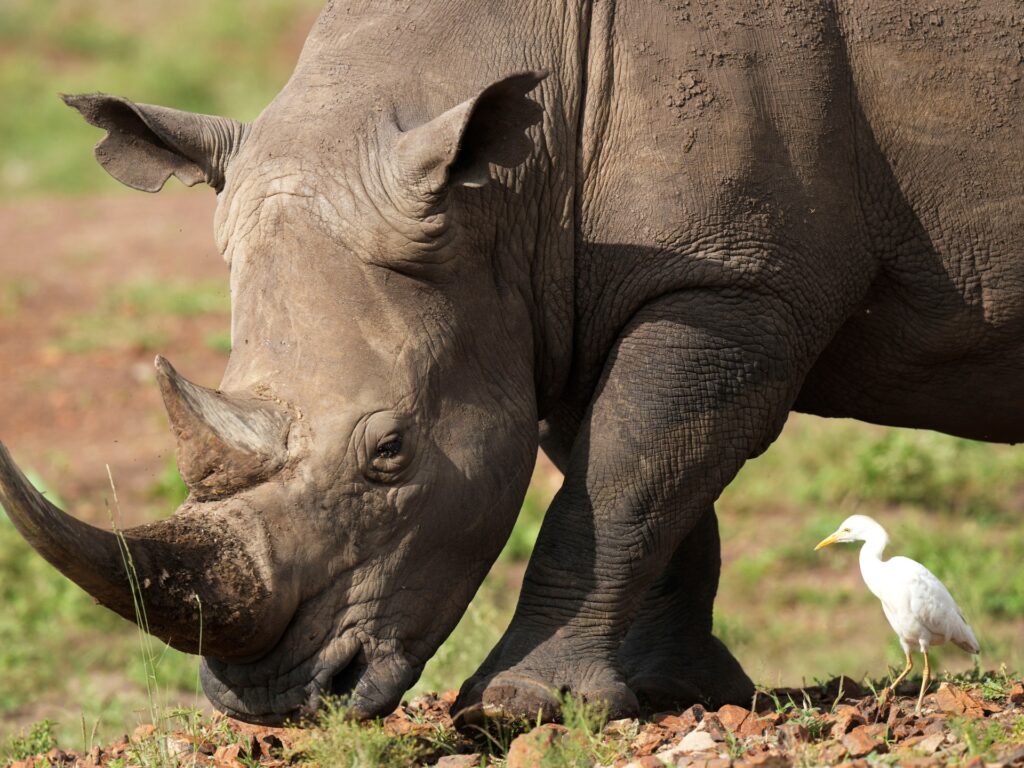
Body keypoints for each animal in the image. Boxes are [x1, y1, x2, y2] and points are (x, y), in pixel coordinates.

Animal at [1, 0, 1022, 726]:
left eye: (392, 453)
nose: (277, 705)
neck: (513, 181)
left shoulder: (731, 282)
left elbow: (628, 470)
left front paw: (520, 707)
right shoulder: (560, 290)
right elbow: (642, 481)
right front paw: (672, 693)